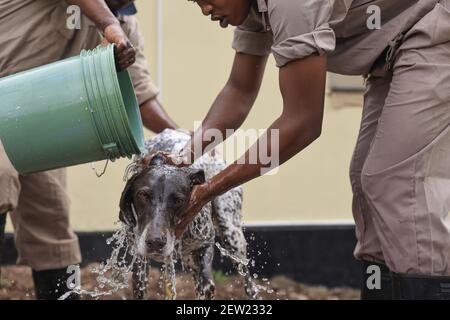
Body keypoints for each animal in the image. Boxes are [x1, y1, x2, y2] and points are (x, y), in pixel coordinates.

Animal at [120, 129, 256, 298]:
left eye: (178, 200)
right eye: (143, 195)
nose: (156, 242)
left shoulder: (204, 246)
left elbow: (206, 284)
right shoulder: (139, 261)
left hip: (232, 236)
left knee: (250, 285)